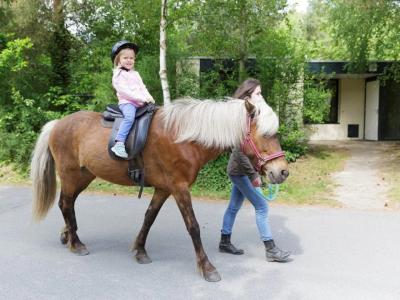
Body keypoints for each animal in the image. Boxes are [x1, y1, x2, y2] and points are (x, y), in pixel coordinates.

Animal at [30, 97, 288, 282]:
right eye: (265, 135)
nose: (282, 172)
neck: (184, 138)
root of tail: (58, 124)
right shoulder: (179, 188)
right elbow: (193, 227)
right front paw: (207, 268)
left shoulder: (164, 189)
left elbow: (149, 218)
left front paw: (140, 251)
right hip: (71, 176)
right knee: (65, 204)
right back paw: (76, 244)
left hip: (84, 176)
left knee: (68, 204)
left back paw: (68, 235)